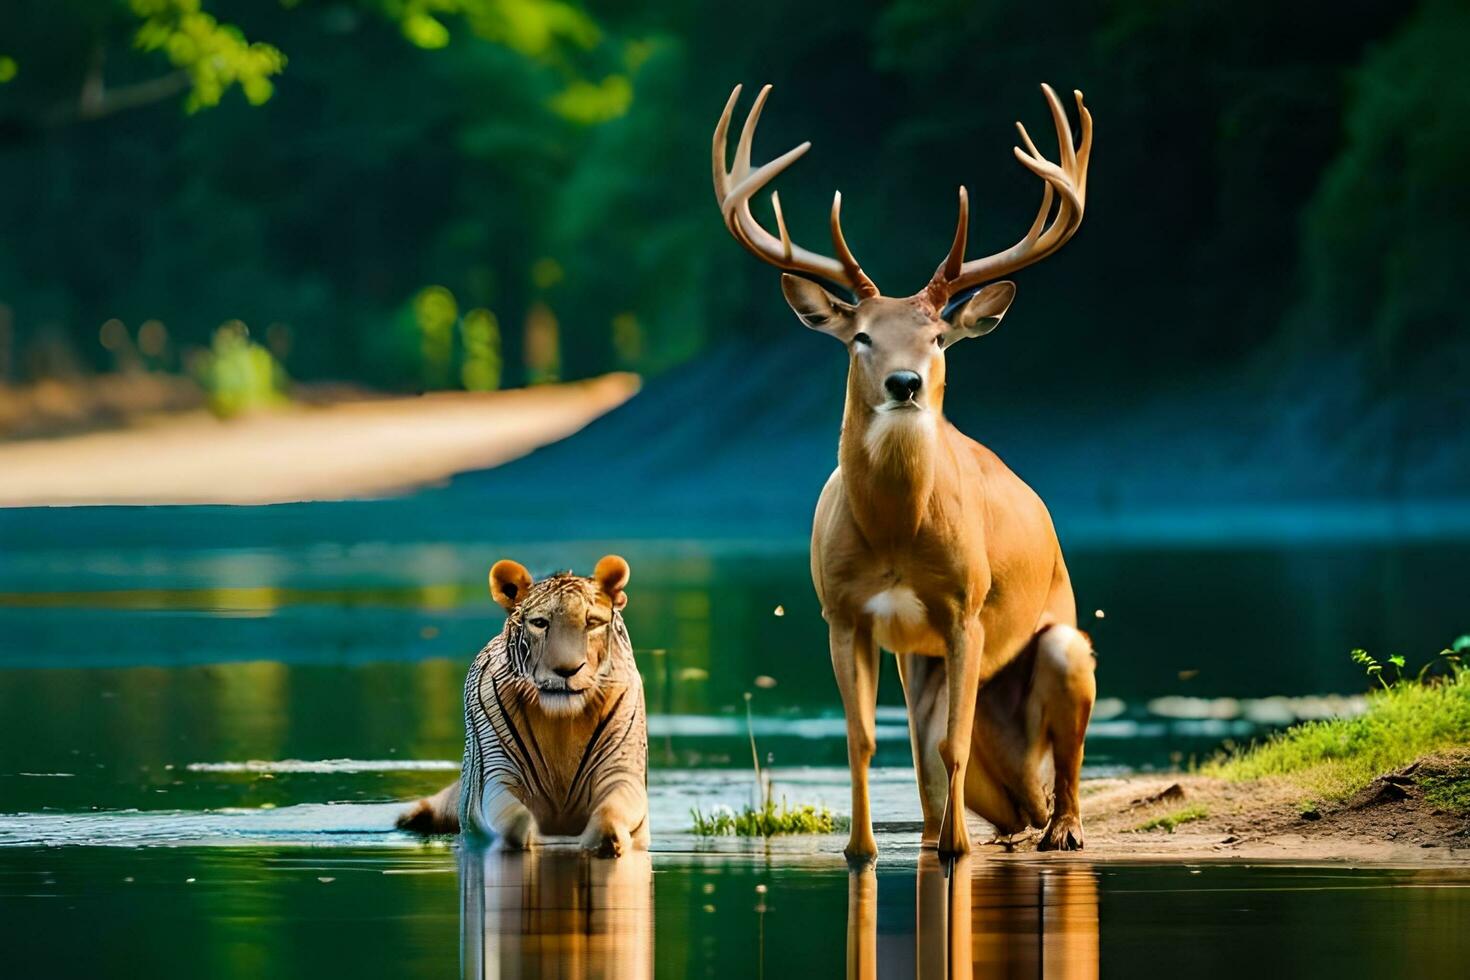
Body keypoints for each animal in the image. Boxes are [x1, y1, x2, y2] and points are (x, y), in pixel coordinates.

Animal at [396, 555, 649, 852]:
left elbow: (611, 813)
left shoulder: (621, 769)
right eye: (540, 623)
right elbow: (513, 820)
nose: (566, 670)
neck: (562, 725)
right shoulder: (497, 773)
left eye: (592, 622)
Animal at [711, 82, 1105, 858]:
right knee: (950, 774)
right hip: (919, 669)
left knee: (1055, 771)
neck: (895, 536)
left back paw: (1060, 830)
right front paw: (860, 850)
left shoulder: (967, 609)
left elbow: (951, 743)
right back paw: (939, 834)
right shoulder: (842, 613)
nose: (904, 383)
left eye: (937, 338)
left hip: (1065, 645)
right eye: (860, 336)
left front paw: (956, 853)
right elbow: (865, 741)